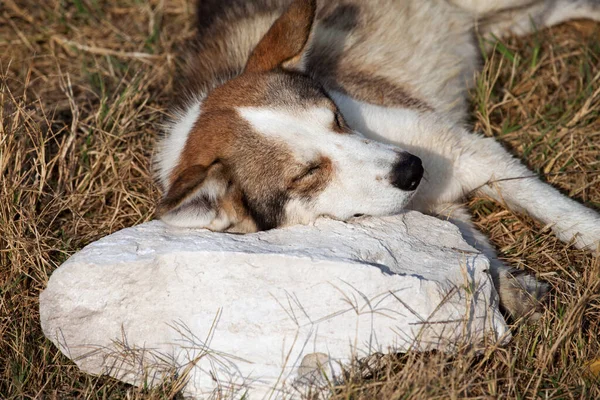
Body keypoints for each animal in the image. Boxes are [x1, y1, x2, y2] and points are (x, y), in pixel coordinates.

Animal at [154, 0, 600, 318]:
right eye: (307, 173)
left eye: (336, 118)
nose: (413, 169)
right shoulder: (447, 212)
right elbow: (477, 256)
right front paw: (515, 292)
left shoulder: (470, 152)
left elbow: (563, 214)